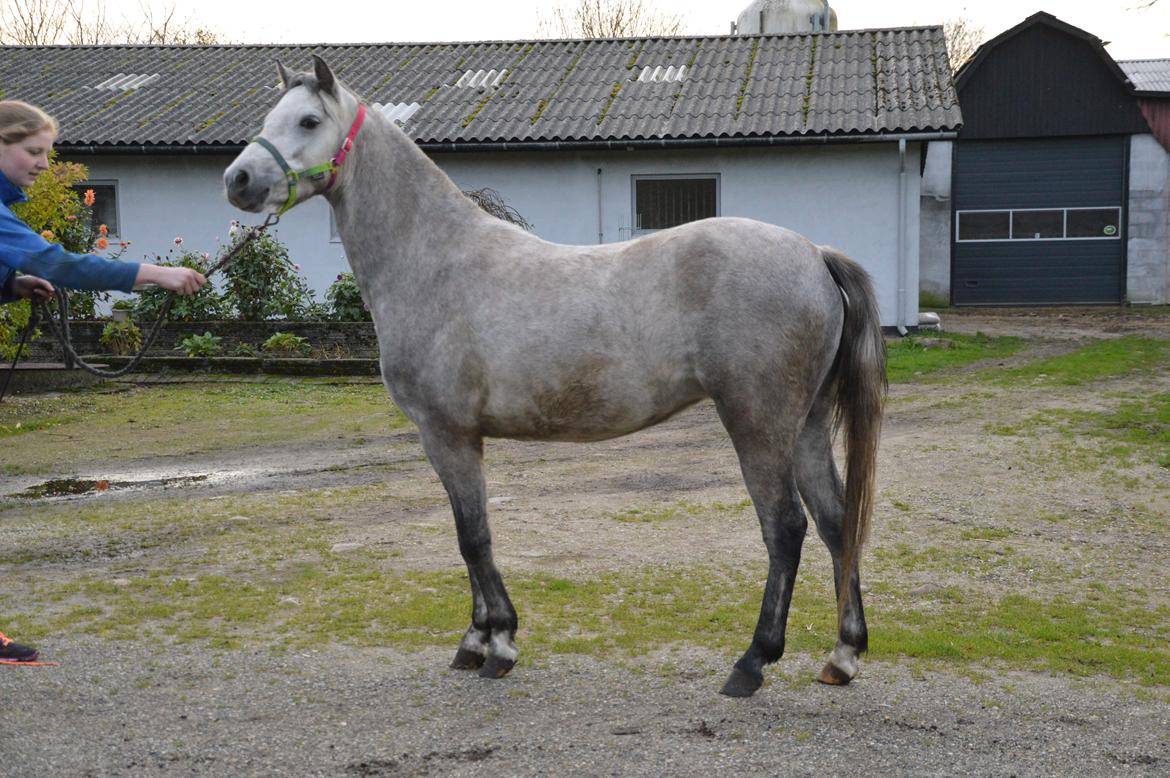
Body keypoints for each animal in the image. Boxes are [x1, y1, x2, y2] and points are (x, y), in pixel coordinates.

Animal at [224, 56, 886, 698]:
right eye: (272, 114)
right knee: (836, 523)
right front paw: (476, 641)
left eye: (309, 120)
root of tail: (815, 254)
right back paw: (842, 656)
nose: (238, 181)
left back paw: (752, 662)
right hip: (804, 427)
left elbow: (473, 537)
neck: (434, 259)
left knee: (786, 529)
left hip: (758, 425)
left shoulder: (446, 434)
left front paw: (498, 644)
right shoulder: (459, 439)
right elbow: (471, 533)